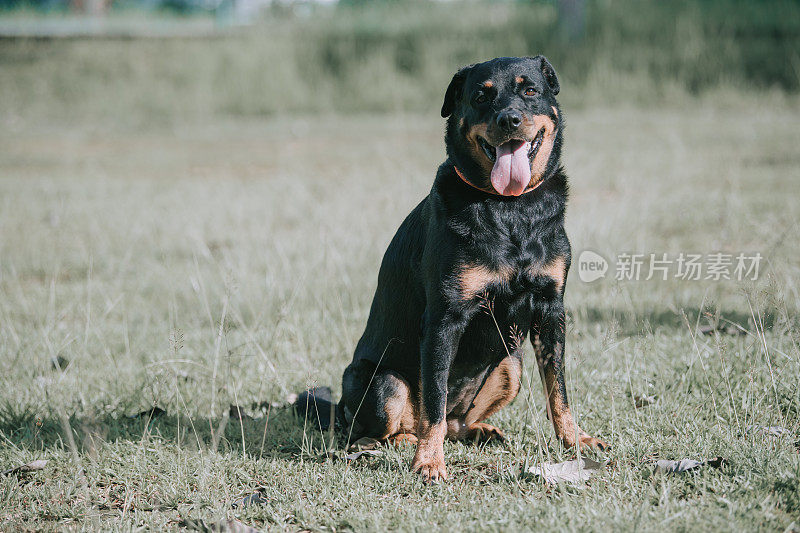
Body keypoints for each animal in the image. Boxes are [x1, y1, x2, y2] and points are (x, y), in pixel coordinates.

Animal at [338, 57, 608, 482]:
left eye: (530, 90)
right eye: (481, 96)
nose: (509, 119)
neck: (510, 208)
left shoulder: (550, 311)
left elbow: (558, 390)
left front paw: (576, 441)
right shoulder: (445, 317)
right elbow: (433, 396)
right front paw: (429, 462)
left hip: (511, 364)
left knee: (454, 423)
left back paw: (481, 430)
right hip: (383, 382)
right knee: (378, 431)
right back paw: (407, 441)